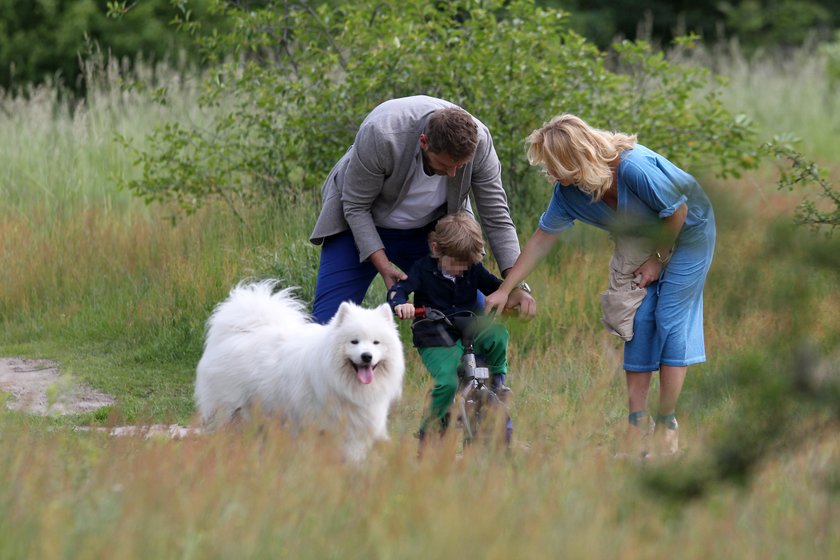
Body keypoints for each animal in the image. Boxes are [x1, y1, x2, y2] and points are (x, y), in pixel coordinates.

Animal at [197, 282, 406, 462]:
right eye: (354, 341)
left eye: (376, 342)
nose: (366, 356)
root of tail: (237, 332)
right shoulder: (314, 424)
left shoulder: (355, 430)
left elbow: (353, 456)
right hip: (229, 408)